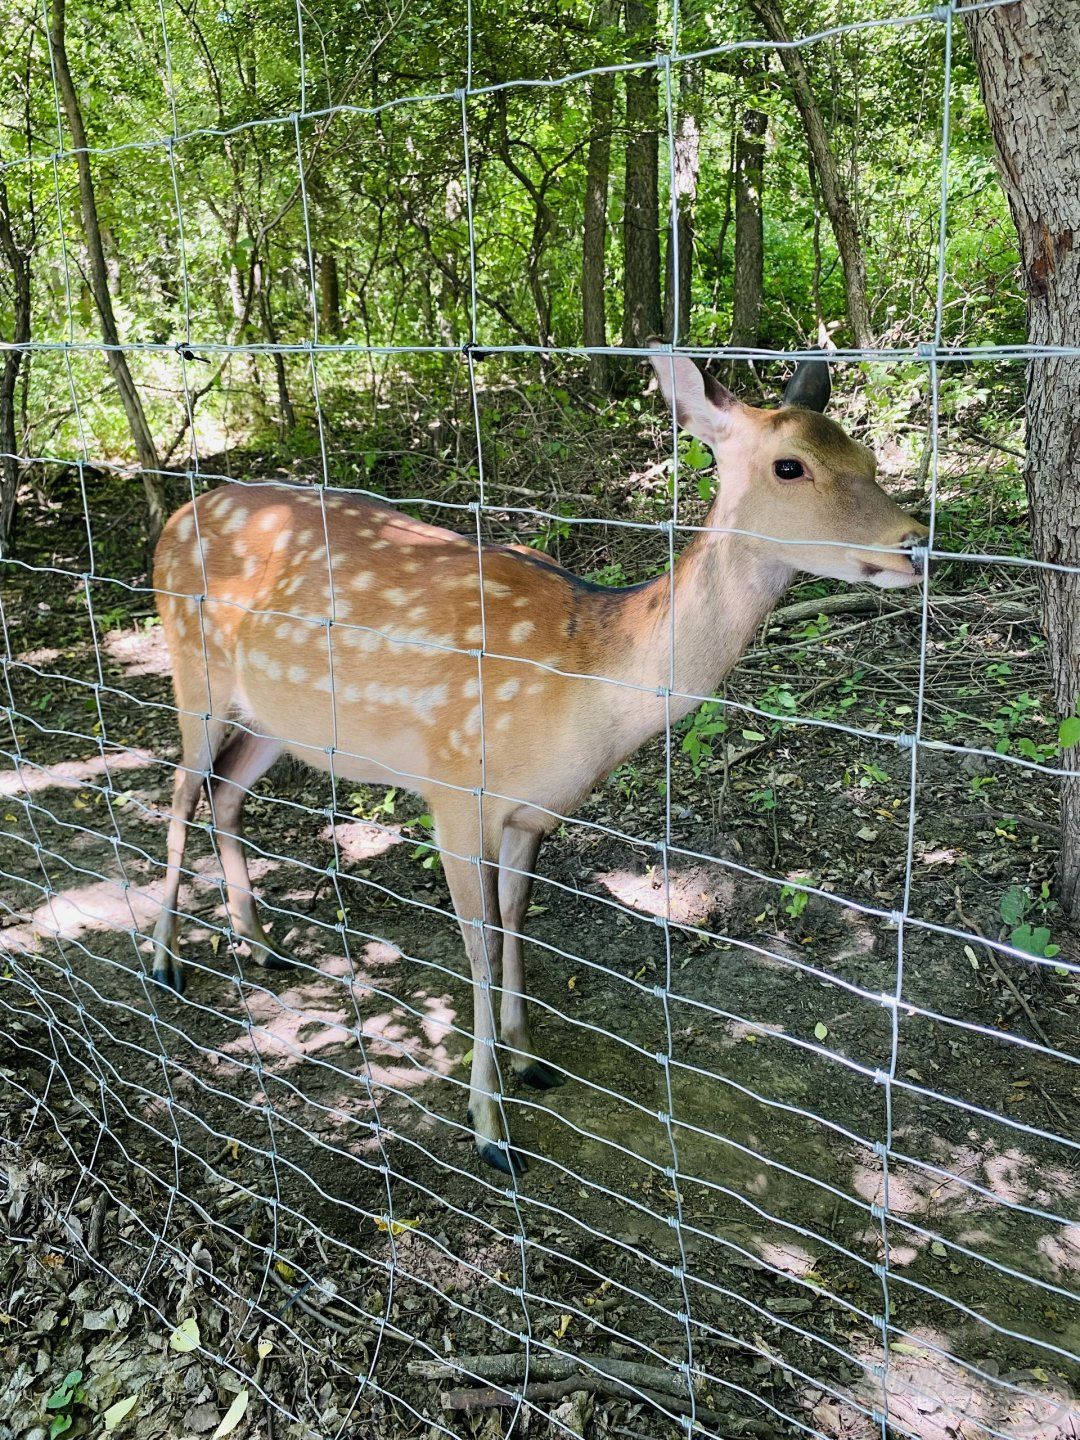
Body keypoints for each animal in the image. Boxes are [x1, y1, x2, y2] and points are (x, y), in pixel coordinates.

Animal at [152, 348, 933, 1169]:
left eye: (867, 458)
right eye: (791, 466)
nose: (916, 542)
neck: (581, 694)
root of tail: (174, 518)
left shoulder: (534, 812)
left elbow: (516, 924)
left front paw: (528, 1058)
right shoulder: (454, 791)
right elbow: (479, 945)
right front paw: (489, 1126)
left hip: (280, 718)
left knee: (226, 790)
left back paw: (261, 945)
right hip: (193, 669)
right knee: (180, 787)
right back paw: (165, 961)